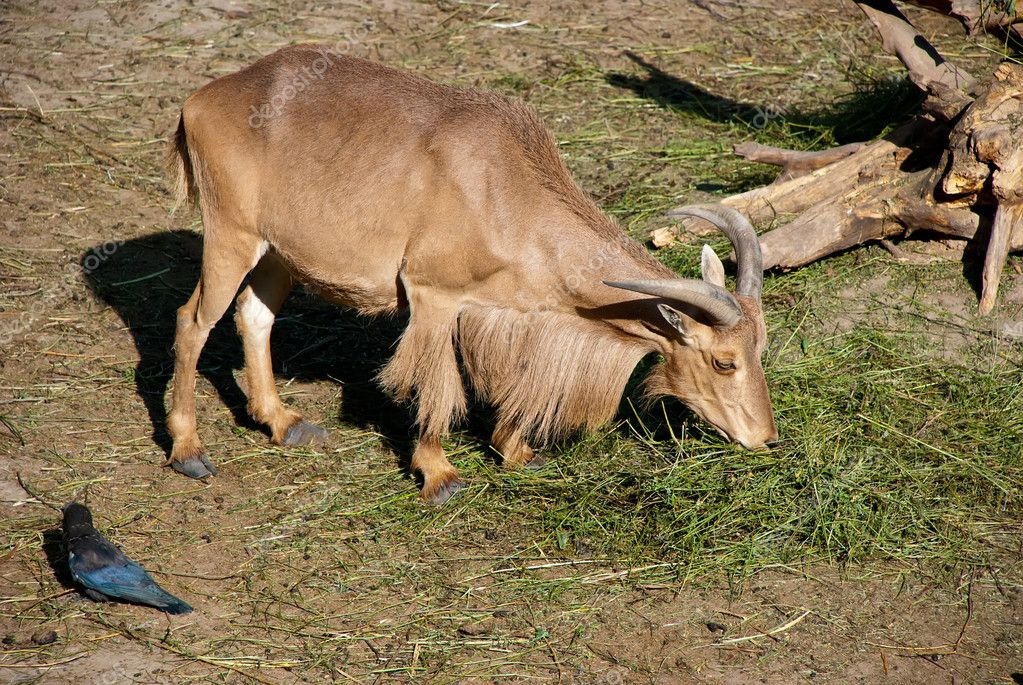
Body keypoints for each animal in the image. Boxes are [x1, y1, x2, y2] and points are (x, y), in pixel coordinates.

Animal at [165, 44, 773, 505]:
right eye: (724, 361)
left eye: (761, 348)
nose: (765, 439)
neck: (505, 195)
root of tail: (198, 102)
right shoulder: (433, 297)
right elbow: (437, 385)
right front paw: (440, 476)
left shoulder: (504, 312)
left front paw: (517, 452)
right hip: (231, 235)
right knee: (193, 322)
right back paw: (189, 450)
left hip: (277, 254)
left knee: (254, 316)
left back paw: (284, 423)